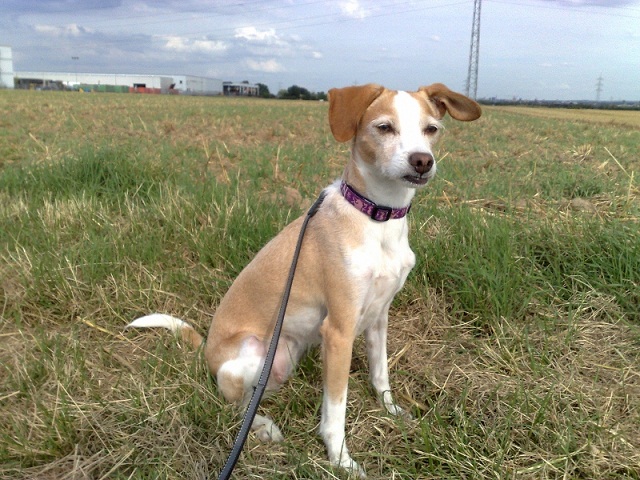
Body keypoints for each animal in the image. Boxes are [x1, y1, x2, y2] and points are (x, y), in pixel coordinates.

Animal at [127, 83, 481, 477]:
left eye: (431, 129)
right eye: (384, 127)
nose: (422, 161)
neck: (377, 217)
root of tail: (206, 351)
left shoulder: (378, 318)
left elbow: (381, 375)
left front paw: (392, 412)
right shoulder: (339, 331)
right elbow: (336, 409)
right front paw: (340, 459)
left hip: (283, 358)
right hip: (253, 356)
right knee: (234, 401)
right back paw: (262, 426)